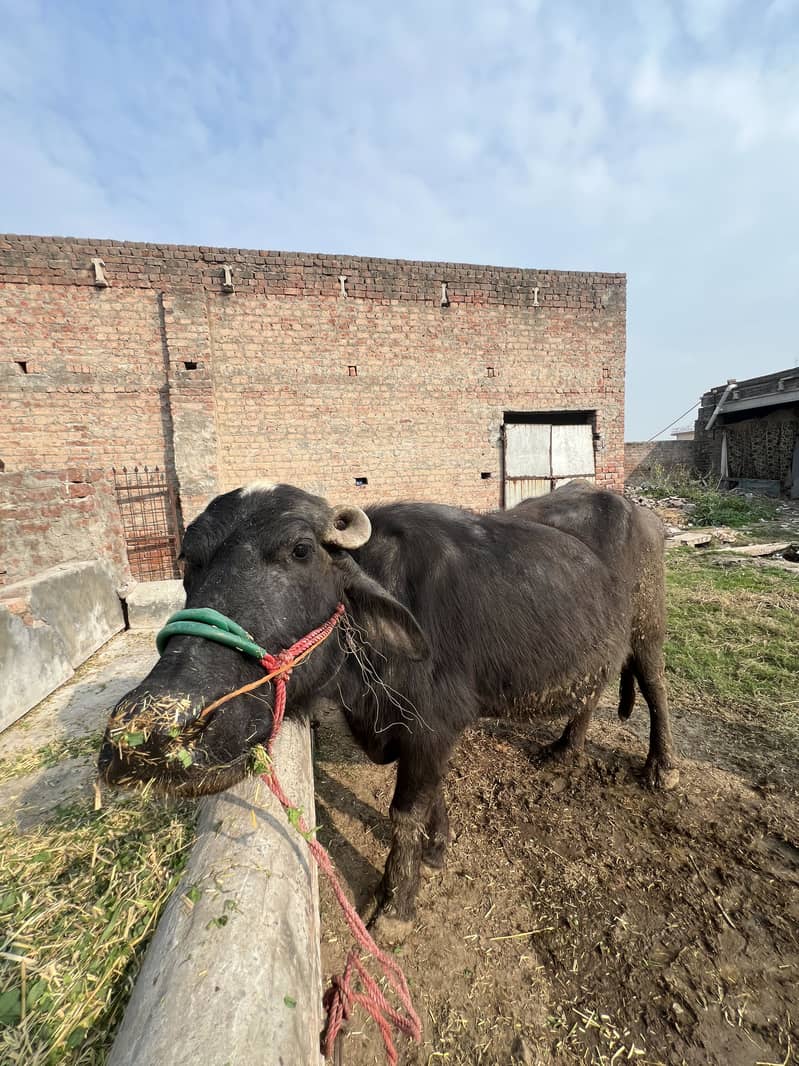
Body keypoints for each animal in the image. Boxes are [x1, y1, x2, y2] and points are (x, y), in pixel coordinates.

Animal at [98, 479, 677, 934]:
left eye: (301, 550)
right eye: (188, 562)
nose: (152, 735)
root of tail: (639, 513)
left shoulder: (434, 725)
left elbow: (405, 810)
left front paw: (396, 904)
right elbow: (430, 793)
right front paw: (438, 847)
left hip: (648, 627)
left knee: (654, 687)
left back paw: (660, 769)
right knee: (592, 690)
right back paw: (565, 748)